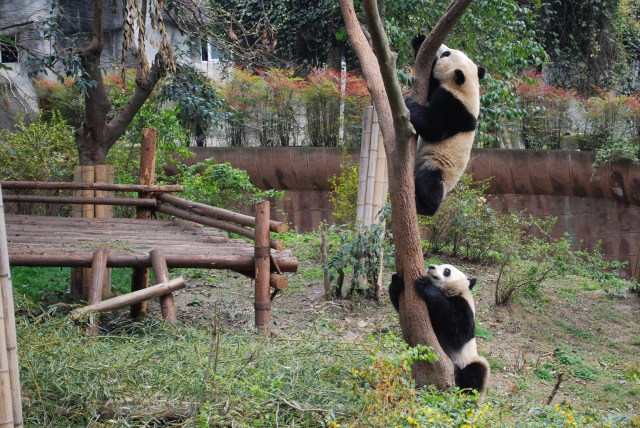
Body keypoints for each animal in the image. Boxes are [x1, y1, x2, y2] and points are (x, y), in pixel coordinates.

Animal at [389, 263, 489, 398]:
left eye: (447, 270)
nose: (431, 266)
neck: (450, 292)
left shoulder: (465, 308)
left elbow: (457, 327)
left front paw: (425, 284)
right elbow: (405, 311)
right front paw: (397, 281)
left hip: (468, 360)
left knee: (477, 372)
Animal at [406, 36, 485, 216]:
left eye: (446, 54)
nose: (441, 48)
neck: (467, 88)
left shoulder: (455, 109)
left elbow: (433, 126)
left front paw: (409, 103)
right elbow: (430, 86)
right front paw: (418, 42)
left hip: (438, 166)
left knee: (429, 181)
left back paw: (425, 207)